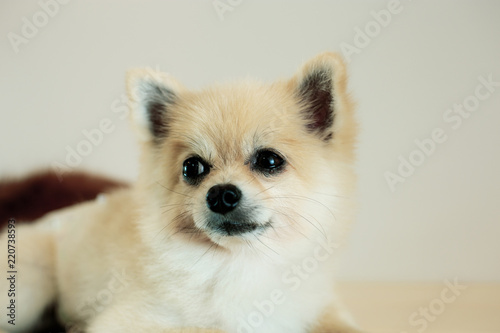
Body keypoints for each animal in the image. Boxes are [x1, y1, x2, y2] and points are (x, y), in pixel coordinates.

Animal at [0, 52, 362, 332]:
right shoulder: (127, 321)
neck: (242, 262)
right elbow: (212, 328)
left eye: (269, 160)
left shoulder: (317, 307)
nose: (221, 194)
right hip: (31, 281)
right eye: (192, 168)